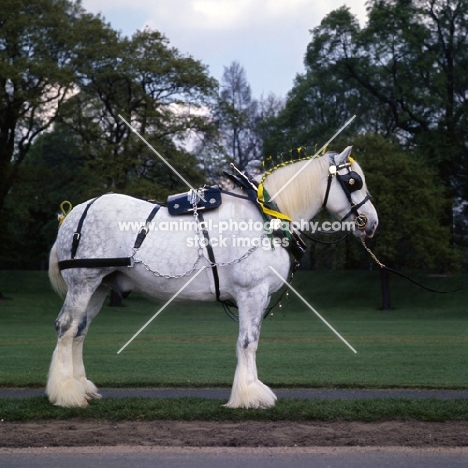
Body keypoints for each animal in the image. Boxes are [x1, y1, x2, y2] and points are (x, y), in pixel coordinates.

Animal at [46, 146, 376, 406]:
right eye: (354, 181)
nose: (371, 222)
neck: (266, 213)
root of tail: (73, 213)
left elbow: (250, 341)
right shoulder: (252, 292)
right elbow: (248, 341)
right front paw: (250, 395)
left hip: (99, 286)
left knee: (79, 331)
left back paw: (81, 387)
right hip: (83, 282)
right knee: (66, 328)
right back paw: (65, 393)